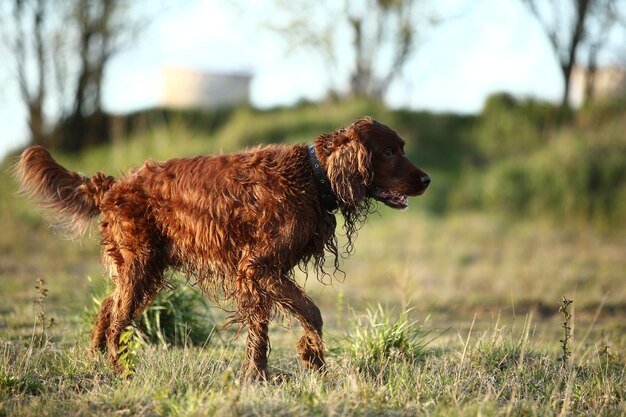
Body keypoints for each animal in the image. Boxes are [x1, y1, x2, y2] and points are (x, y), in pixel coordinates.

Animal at [18, 116, 428, 376]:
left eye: (402, 148)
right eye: (389, 152)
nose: (426, 180)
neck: (312, 176)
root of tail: (115, 185)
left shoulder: (259, 274)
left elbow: (262, 326)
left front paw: (257, 375)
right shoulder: (258, 266)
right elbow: (311, 312)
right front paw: (312, 357)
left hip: (143, 269)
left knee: (108, 307)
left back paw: (95, 358)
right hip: (141, 267)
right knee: (118, 318)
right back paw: (121, 369)